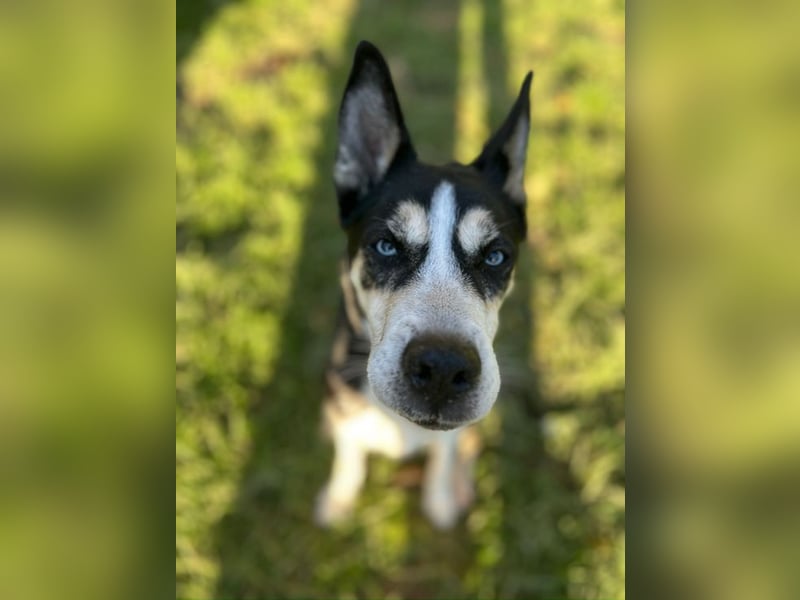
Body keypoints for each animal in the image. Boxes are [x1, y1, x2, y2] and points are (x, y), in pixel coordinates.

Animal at [316, 41, 532, 529]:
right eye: (386, 246)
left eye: (496, 256)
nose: (443, 370)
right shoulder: (341, 404)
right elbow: (348, 454)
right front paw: (338, 498)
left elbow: (445, 453)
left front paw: (441, 499)